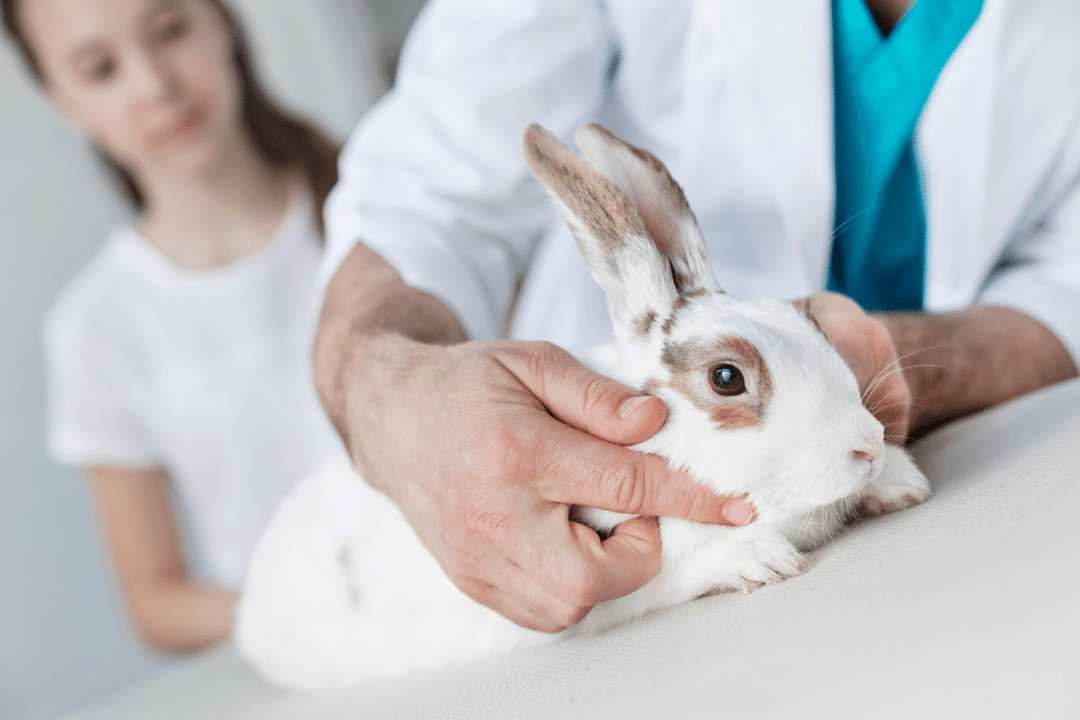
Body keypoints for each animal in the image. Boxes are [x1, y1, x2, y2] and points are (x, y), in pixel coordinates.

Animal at [234, 122, 932, 691]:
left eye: (807, 321)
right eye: (726, 378)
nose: (866, 445)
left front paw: (902, 483)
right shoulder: (608, 589)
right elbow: (672, 574)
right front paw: (761, 560)